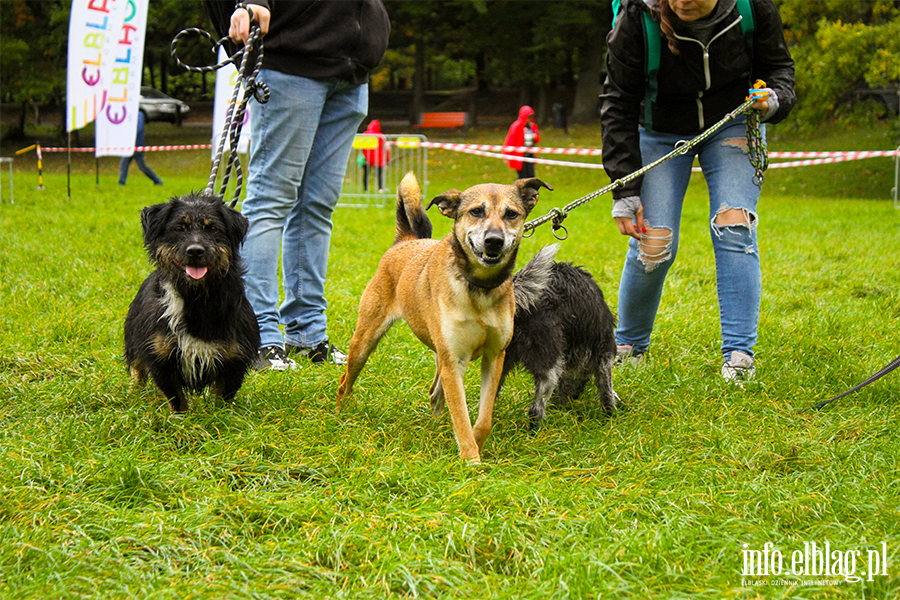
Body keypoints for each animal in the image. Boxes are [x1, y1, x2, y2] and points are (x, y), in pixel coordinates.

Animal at [123, 192, 258, 412]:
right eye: (179, 228)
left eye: (212, 228)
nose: (195, 251)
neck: (196, 298)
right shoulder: (160, 354)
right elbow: (176, 398)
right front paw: (182, 418)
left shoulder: (235, 357)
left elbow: (222, 398)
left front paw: (218, 416)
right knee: (137, 370)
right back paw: (134, 394)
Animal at [338, 173, 548, 464]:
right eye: (476, 211)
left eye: (511, 214)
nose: (494, 240)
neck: (479, 288)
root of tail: (404, 241)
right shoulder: (454, 361)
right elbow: (461, 416)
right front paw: (471, 461)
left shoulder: (494, 356)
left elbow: (483, 419)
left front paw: (476, 443)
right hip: (364, 342)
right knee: (345, 381)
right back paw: (341, 413)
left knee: (435, 392)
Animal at [500, 246, 620, 428]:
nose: (565, 402)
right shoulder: (604, 355)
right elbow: (607, 390)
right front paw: (611, 415)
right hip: (549, 370)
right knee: (535, 410)